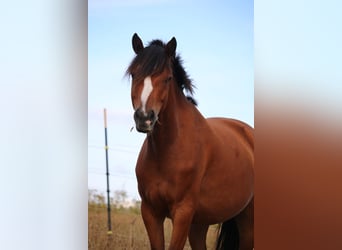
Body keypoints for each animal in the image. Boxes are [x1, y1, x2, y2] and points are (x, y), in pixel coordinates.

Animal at [126, 33, 254, 250]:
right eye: (134, 75)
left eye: (168, 78)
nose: (144, 118)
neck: (167, 151)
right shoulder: (151, 212)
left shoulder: (183, 212)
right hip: (200, 224)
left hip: (247, 221)